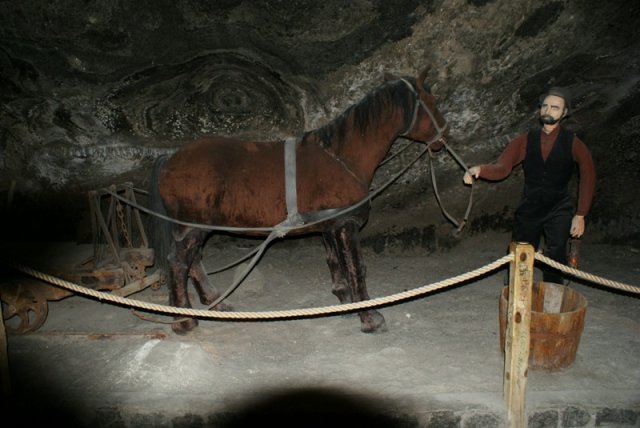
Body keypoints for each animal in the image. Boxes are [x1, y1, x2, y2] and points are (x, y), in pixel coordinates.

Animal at [148, 67, 449, 335]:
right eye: (432, 102)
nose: (444, 134)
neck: (341, 157)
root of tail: (169, 159)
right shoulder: (346, 224)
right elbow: (356, 267)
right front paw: (370, 318)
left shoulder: (330, 225)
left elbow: (335, 262)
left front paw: (344, 300)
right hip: (192, 226)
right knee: (179, 263)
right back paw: (184, 321)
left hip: (197, 227)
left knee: (194, 262)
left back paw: (214, 303)